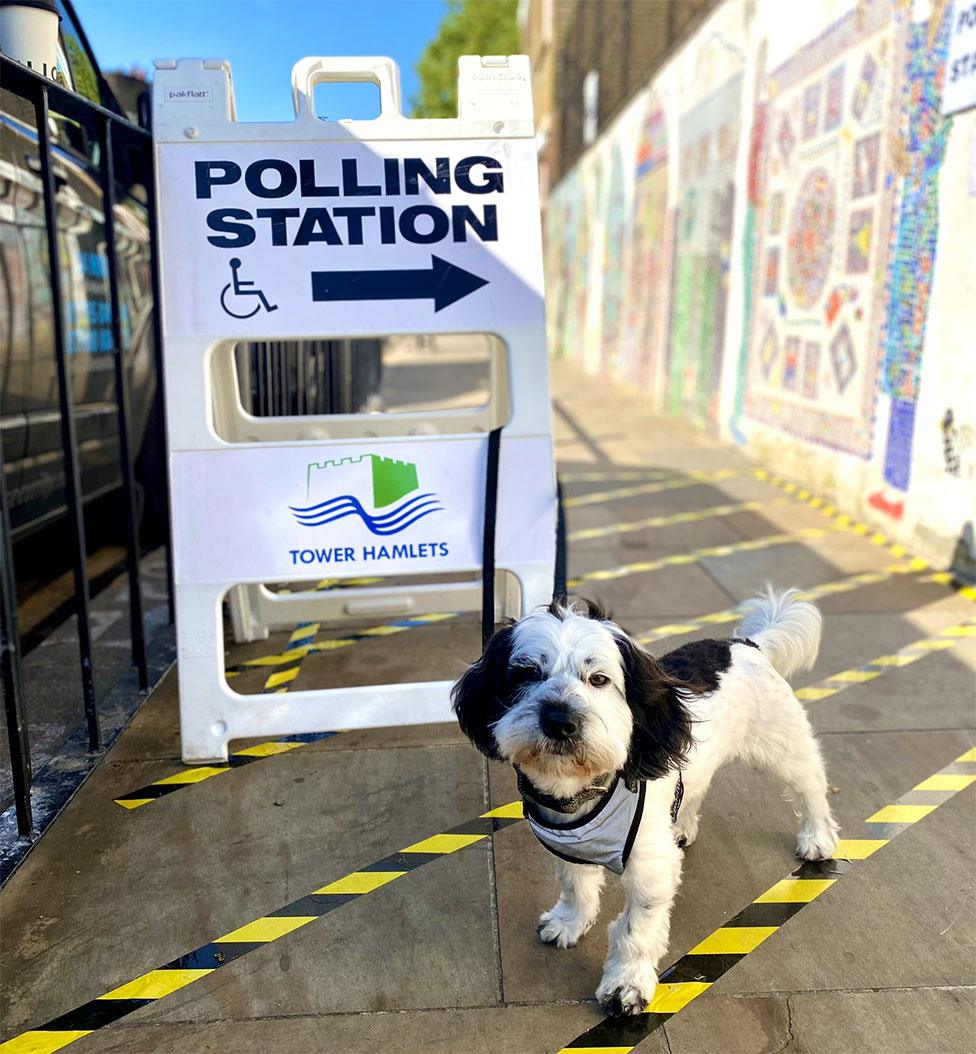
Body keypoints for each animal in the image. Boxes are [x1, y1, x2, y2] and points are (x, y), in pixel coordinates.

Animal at [451, 590, 838, 1016]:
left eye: (599, 679)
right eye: (527, 674)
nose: (559, 721)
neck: (584, 792)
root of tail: (745, 644)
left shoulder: (650, 870)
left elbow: (635, 929)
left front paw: (626, 983)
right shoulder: (569, 849)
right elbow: (576, 889)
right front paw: (571, 922)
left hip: (784, 747)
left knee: (811, 785)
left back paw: (817, 837)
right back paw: (682, 825)